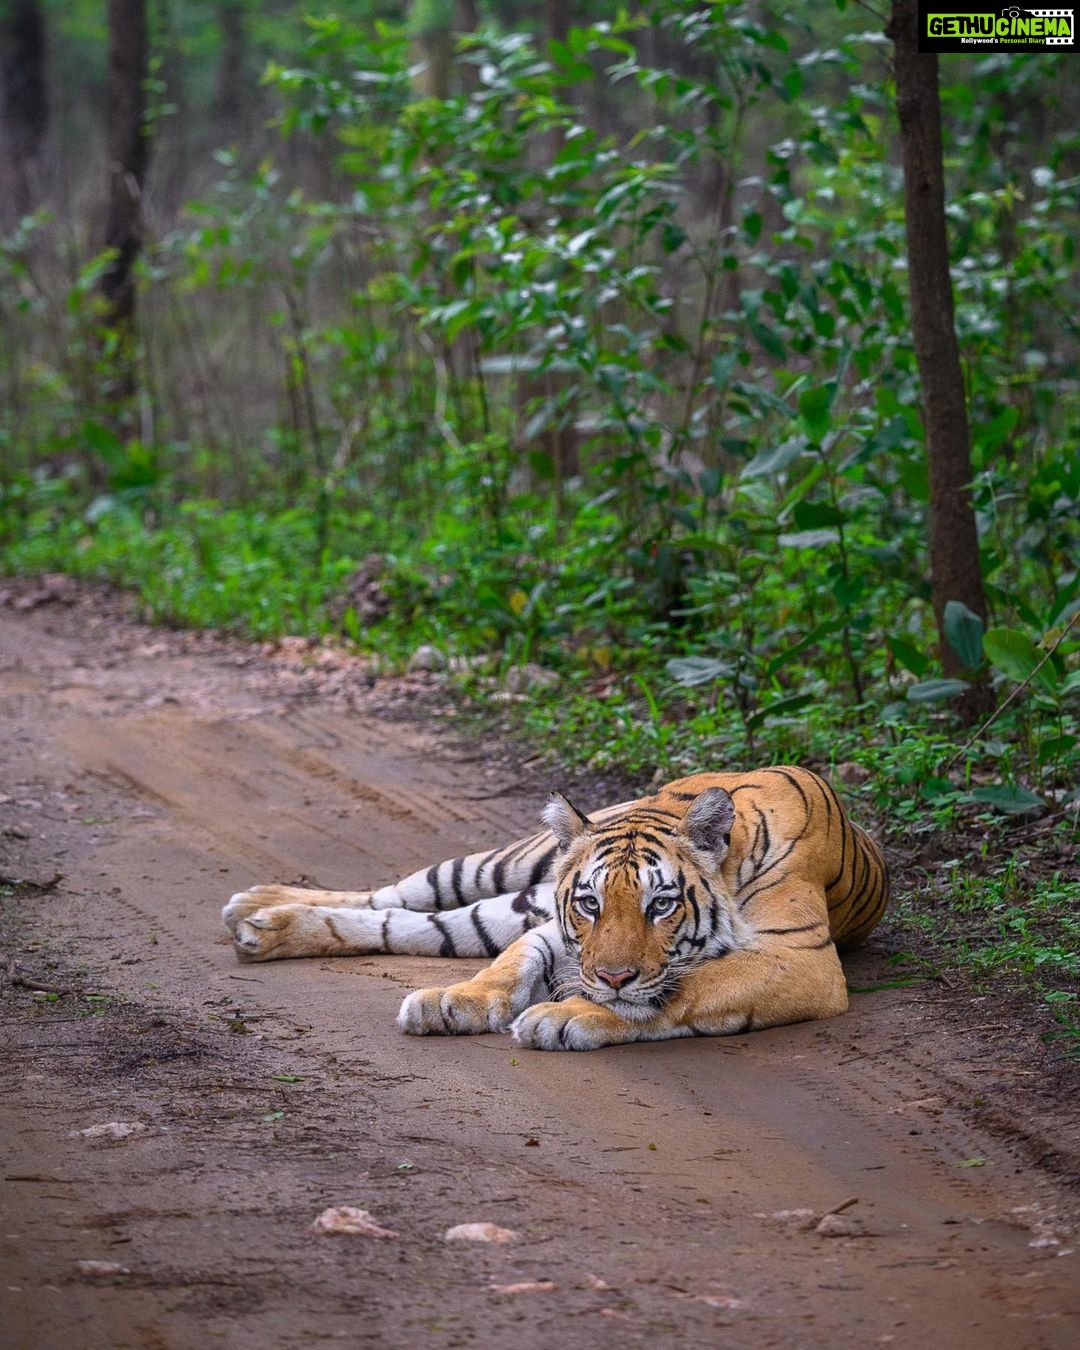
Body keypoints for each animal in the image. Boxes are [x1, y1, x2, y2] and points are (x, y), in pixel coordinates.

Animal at [222, 766, 888, 1050]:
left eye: (661, 904)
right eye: (590, 903)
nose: (611, 975)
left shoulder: (800, 958)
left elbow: (682, 991)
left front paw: (565, 1017)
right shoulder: (555, 927)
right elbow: (509, 966)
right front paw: (453, 1002)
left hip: (508, 900)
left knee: (409, 924)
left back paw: (261, 923)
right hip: (507, 867)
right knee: (399, 895)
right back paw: (258, 906)